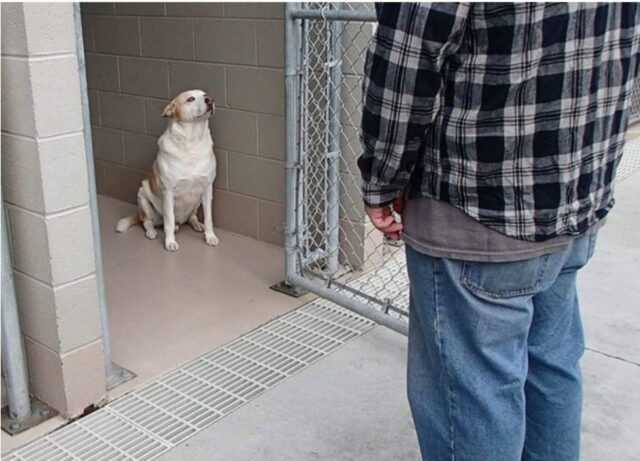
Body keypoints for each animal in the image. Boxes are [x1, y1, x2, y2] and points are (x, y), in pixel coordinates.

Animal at [117, 87, 220, 250]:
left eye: (205, 95)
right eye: (190, 99)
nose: (210, 100)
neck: (192, 143)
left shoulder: (207, 188)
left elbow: (209, 218)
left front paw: (210, 237)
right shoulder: (168, 192)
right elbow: (169, 221)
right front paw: (170, 242)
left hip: (197, 201)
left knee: (191, 217)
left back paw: (197, 224)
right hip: (143, 197)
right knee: (147, 222)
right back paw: (152, 232)